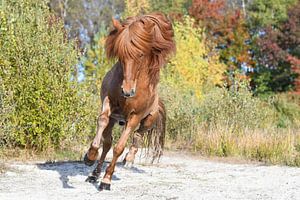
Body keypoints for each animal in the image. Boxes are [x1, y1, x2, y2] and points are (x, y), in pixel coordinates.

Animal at [83, 12, 175, 191]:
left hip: (148, 120)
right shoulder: (108, 102)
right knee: (107, 143)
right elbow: (102, 121)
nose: (127, 91)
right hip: (115, 119)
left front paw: (107, 181)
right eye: (120, 55)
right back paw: (94, 174)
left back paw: (129, 160)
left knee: (137, 136)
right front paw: (89, 156)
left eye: (140, 54)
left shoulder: (134, 117)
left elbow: (119, 147)